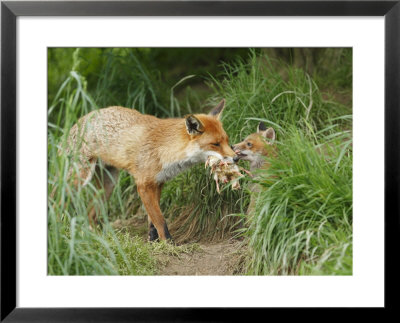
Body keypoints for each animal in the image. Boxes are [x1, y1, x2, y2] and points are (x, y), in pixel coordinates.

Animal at [64, 100, 236, 242]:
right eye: (215, 144)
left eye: (227, 140)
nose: (236, 158)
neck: (165, 150)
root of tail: (77, 122)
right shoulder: (143, 185)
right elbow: (160, 220)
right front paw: (169, 244)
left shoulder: (158, 182)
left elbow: (152, 220)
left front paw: (153, 240)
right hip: (79, 179)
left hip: (108, 186)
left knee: (89, 214)